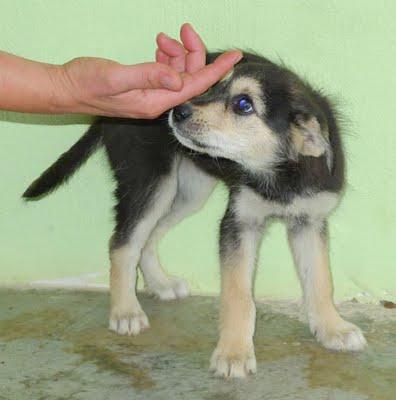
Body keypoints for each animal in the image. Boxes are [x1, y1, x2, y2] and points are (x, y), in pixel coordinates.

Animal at [23, 52, 366, 378]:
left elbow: (320, 280)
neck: (282, 174)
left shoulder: (309, 221)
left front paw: (333, 327)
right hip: (151, 182)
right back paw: (125, 311)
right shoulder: (239, 222)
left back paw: (160, 284)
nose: (177, 111)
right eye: (212, 88)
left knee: (148, 238)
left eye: (244, 104)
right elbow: (238, 295)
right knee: (123, 244)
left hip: (189, 191)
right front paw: (234, 352)